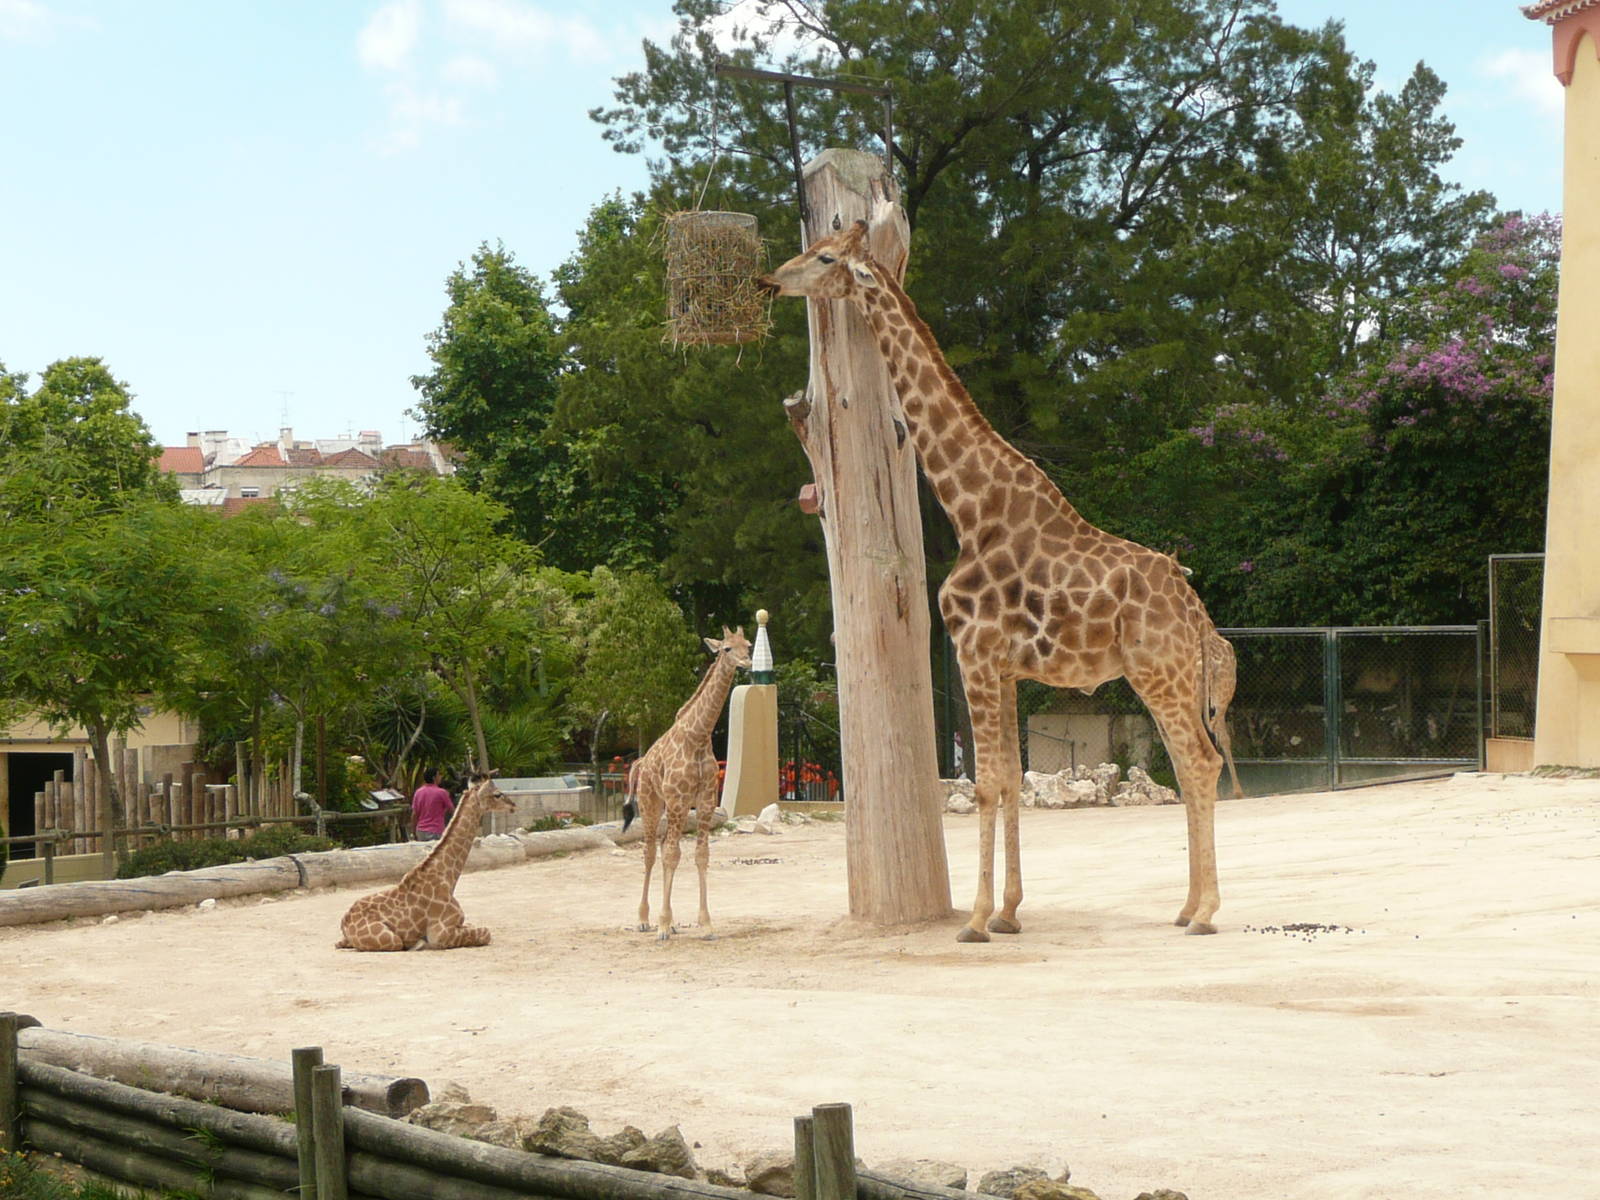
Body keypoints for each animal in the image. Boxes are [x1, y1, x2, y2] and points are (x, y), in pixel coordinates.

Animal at [335, 773, 514, 951]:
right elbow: (486, 933)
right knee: (396, 942)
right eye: (497, 794)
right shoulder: (439, 934)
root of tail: (344, 924)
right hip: (391, 939)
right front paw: (421, 942)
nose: (513, 805)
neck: (448, 879)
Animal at [624, 627, 752, 941]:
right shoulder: (678, 799)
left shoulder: (705, 800)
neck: (699, 735)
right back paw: (644, 920)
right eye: (727, 648)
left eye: (748, 644)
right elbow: (672, 855)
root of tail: (641, 762)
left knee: (662, 848)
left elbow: (701, 855)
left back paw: (669, 923)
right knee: (650, 853)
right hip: (652, 803)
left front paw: (705, 924)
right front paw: (661, 925)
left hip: (673, 808)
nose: (747, 662)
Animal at [761, 220, 1238, 940]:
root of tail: (1198, 612)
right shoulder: (1006, 667)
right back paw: (1185, 907)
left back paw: (1206, 912)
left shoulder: (975, 652)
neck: (970, 508)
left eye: (821, 257)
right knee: (1189, 766)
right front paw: (1011, 911)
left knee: (1201, 762)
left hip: (1159, 671)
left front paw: (978, 918)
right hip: (1169, 676)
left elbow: (986, 782)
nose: (770, 279)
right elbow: (1012, 779)